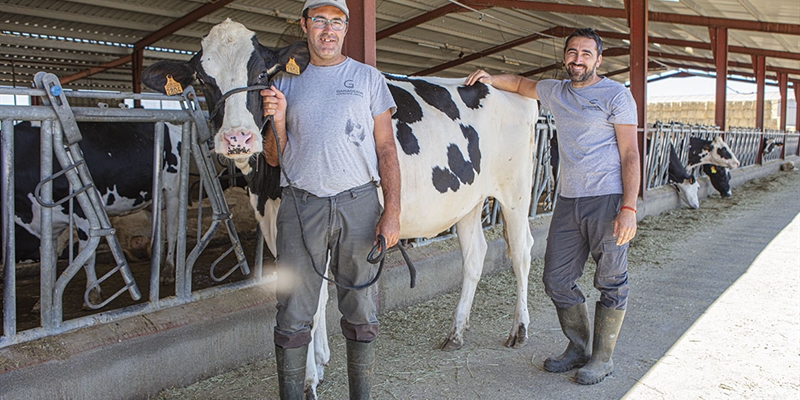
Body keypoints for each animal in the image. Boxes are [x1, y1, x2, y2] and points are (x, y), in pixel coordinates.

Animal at [3, 120, 181, 308]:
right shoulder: (50, 223)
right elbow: (49, 260)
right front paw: (44, 302)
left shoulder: (83, 213)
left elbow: (87, 256)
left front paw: (94, 294)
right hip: (151, 199)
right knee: (158, 231)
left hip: (172, 190)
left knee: (172, 231)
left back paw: (167, 271)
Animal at [141, 19, 540, 396]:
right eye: (202, 80)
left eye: (261, 74)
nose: (238, 138)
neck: (265, 186)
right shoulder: (278, 227)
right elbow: (313, 299)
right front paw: (318, 360)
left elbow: (315, 299)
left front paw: (309, 379)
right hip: (468, 199)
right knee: (474, 256)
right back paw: (456, 333)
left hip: (516, 191)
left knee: (521, 251)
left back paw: (519, 329)